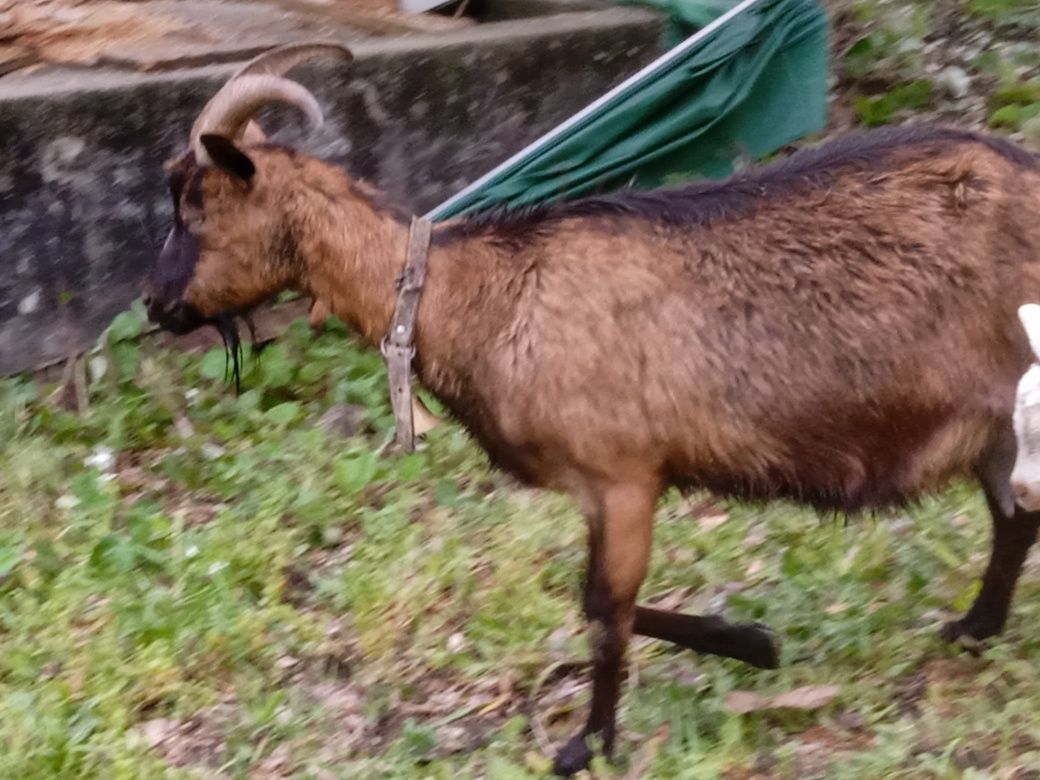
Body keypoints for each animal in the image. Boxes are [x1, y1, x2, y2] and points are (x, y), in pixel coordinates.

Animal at [144, 44, 1040, 777]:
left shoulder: (624, 477)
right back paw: (975, 629)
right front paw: (751, 643)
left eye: (195, 210)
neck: (477, 293)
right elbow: (598, 602)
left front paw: (588, 745)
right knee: (1013, 518)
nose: (155, 306)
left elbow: (605, 614)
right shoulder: (601, 489)